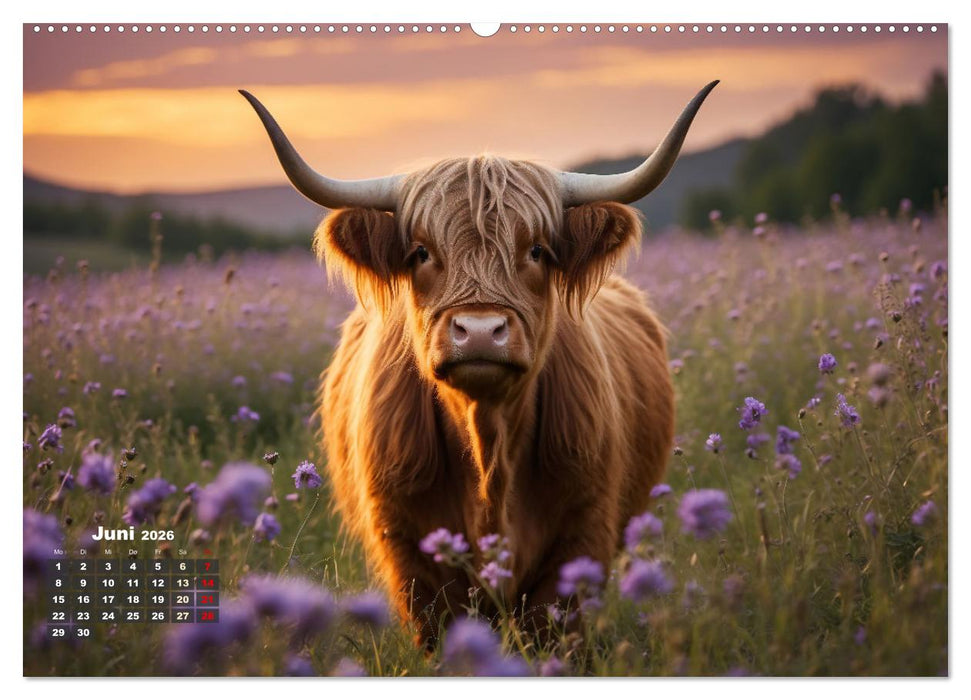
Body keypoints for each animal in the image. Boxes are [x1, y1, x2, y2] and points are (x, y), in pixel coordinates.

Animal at [241, 81, 717, 646]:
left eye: (537, 250)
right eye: (421, 253)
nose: (482, 330)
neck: (489, 450)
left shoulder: (583, 534)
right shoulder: (408, 550)